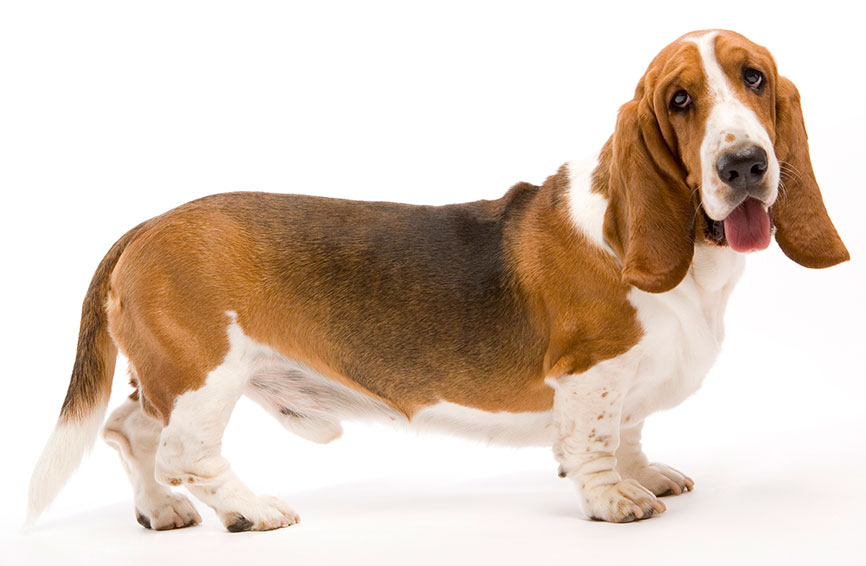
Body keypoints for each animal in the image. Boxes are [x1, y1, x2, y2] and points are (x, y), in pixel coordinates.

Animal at [27, 28, 844, 532]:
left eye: (755, 78)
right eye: (680, 101)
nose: (744, 165)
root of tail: (144, 226)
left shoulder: (630, 382)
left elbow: (631, 430)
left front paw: (645, 472)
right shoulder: (593, 372)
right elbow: (595, 442)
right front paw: (616, 499)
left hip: (173, 381)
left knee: (128, 430)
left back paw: (161, 511)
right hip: (205, 378)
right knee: (182, 453)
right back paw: (251, 511)